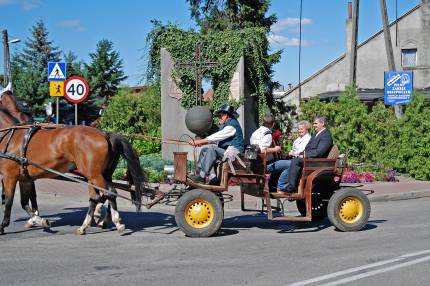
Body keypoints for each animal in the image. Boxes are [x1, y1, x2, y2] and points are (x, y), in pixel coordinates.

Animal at [0, 91, 154, 235]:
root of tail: (105, 134)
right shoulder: (24, 178)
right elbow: (25, 203)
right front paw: (40, 220)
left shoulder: (9, 177)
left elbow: (9, 202)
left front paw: (3, 225)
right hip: (100, 175)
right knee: (98, 196)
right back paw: (90, 224)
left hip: (94, 175)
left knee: (108, 193)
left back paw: (112, 222)